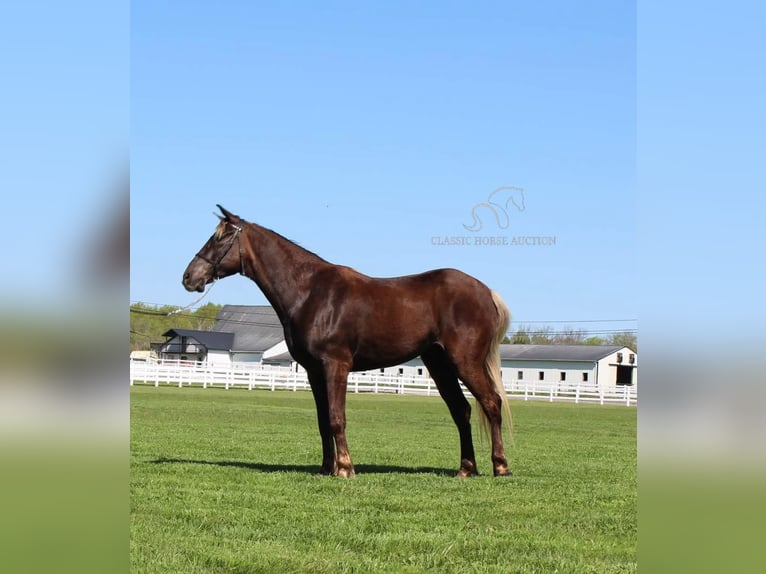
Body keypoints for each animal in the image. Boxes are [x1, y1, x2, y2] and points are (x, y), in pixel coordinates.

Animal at [183, 205, 512, 480]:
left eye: (220, 239)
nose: (189, 277)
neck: (310, 292)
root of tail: (486, 292)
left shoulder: (335, 365)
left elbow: (336, 418)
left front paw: (344, 468)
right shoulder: (314, 372)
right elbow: (322, 420)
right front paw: (326, 468)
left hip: (464, 361)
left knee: (491, 403)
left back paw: (500, 466)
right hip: (439, 364)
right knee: (462, 410)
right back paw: (466, 469)